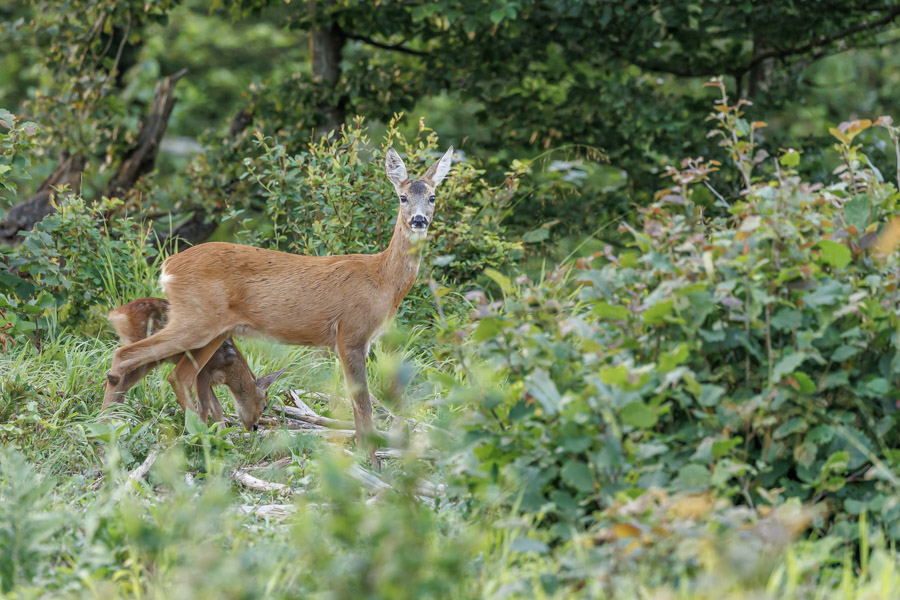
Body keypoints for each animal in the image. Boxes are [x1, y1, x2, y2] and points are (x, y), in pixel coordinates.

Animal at [108, 296, 284, 428]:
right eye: (264, 405)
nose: (254, 427)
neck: (229, 367)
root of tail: (118, 314)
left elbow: (217, 408)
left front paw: (224, 436)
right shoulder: (205, 370)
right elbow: (205, 406)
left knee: (120, 382)